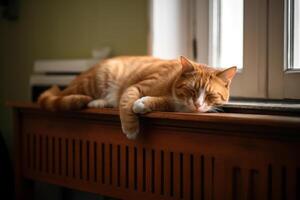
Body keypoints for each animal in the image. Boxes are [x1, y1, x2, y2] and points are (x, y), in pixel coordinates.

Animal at [37, 55, 236, 139]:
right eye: (192, 91)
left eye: (210, 94)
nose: (197, 104)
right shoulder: (135, 87)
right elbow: (126, 104)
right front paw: (131, 128)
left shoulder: (174, 104)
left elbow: (161, 102)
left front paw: (143, 103)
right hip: (95, 80)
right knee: (63, 95)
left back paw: (100, 102)